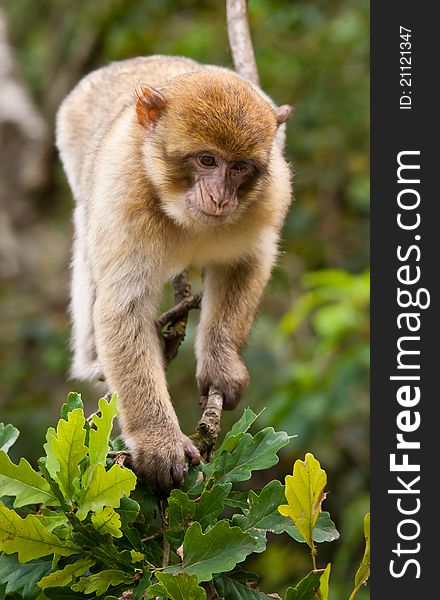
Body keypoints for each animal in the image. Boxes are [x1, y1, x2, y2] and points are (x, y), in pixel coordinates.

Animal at [56, 55, 294, 492]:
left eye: (239, 167)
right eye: (207, 160)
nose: (219, 197)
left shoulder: (270, 196)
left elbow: (246, 262)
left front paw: (220, 362)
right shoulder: (124, 194)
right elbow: (122, 307)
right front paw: (158, 441)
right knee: (86, 234)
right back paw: (92, 359)